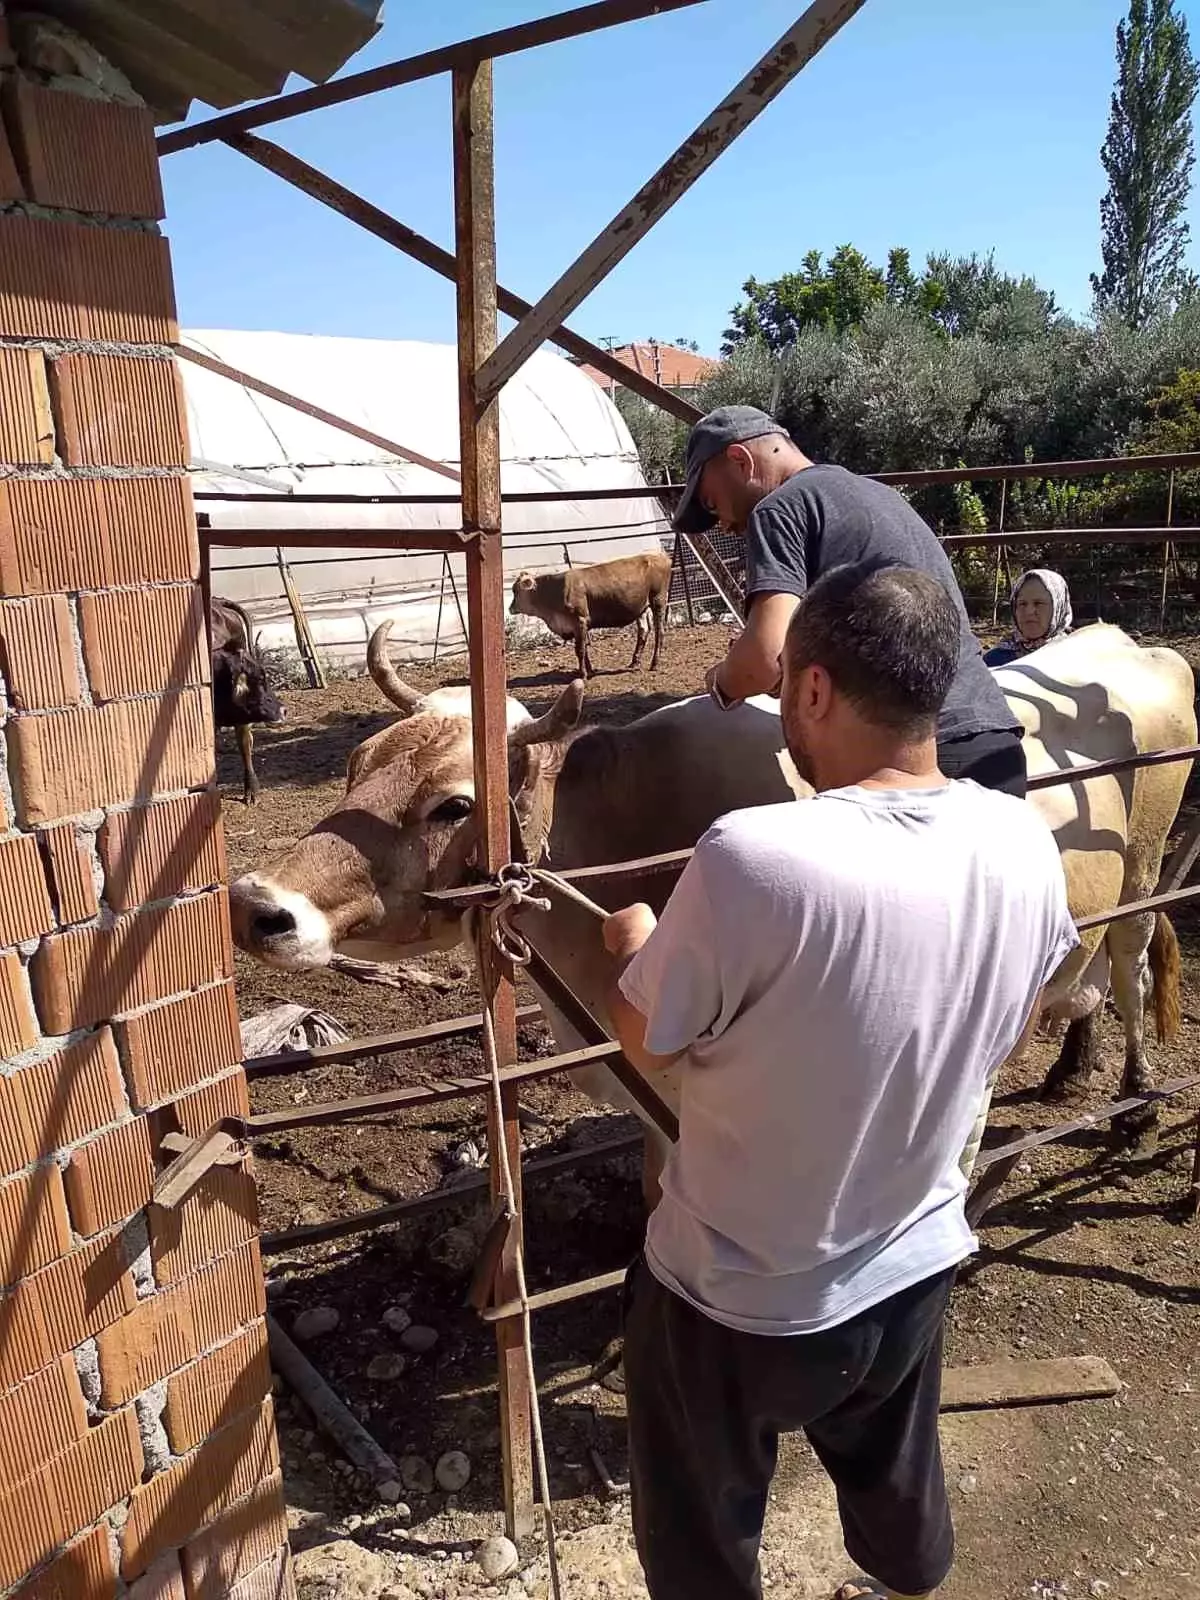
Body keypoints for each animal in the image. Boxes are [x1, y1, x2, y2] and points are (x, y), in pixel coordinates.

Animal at [508, 550, 678, 675]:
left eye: (515, 590)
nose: (510, 608)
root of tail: (660, 556)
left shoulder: (580, 620)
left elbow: (580, 650)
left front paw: (582, 673)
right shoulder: (576, 626)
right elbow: (583, 649)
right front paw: (589, 670)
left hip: (658, 600)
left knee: (659, 632)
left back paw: (654, 664)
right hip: (641, 608)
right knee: (643, 631)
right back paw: (634, 663)